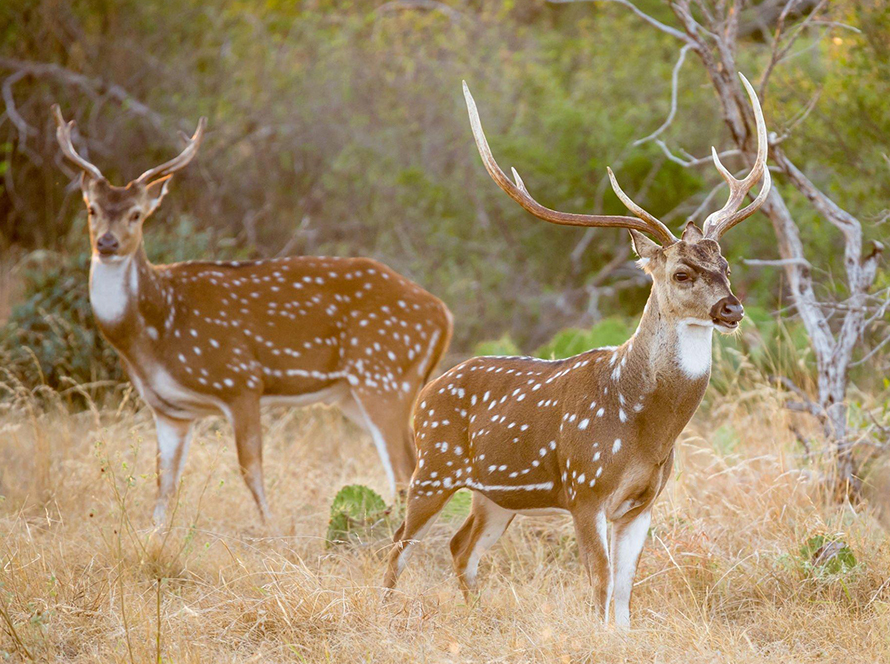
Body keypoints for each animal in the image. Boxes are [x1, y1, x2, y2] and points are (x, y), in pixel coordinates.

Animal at [52, 106, 450, 528]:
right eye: (92, 209)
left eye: (136, 214)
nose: (107, 243)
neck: (156, 333)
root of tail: (443, 315)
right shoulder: (169, 409)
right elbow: (164, 484)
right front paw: (153, 534)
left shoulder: (240, 380)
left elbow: (251, 469)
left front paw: (270, 528)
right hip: (354, 393)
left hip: (384, 376)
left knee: (406, 469)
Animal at [386, 75, 768, 624]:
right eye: (682, 273)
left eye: (727, 267)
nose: (731, 309)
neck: (645, 427)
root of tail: (425, 393)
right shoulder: (586, 489)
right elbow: (600, 584)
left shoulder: (642, 502)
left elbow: (625, 591)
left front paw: (622, 633)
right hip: (433, 466)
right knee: (398, 544)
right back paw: (386, 610)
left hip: (495, 495)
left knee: (461, 547)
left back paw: (476, 616)